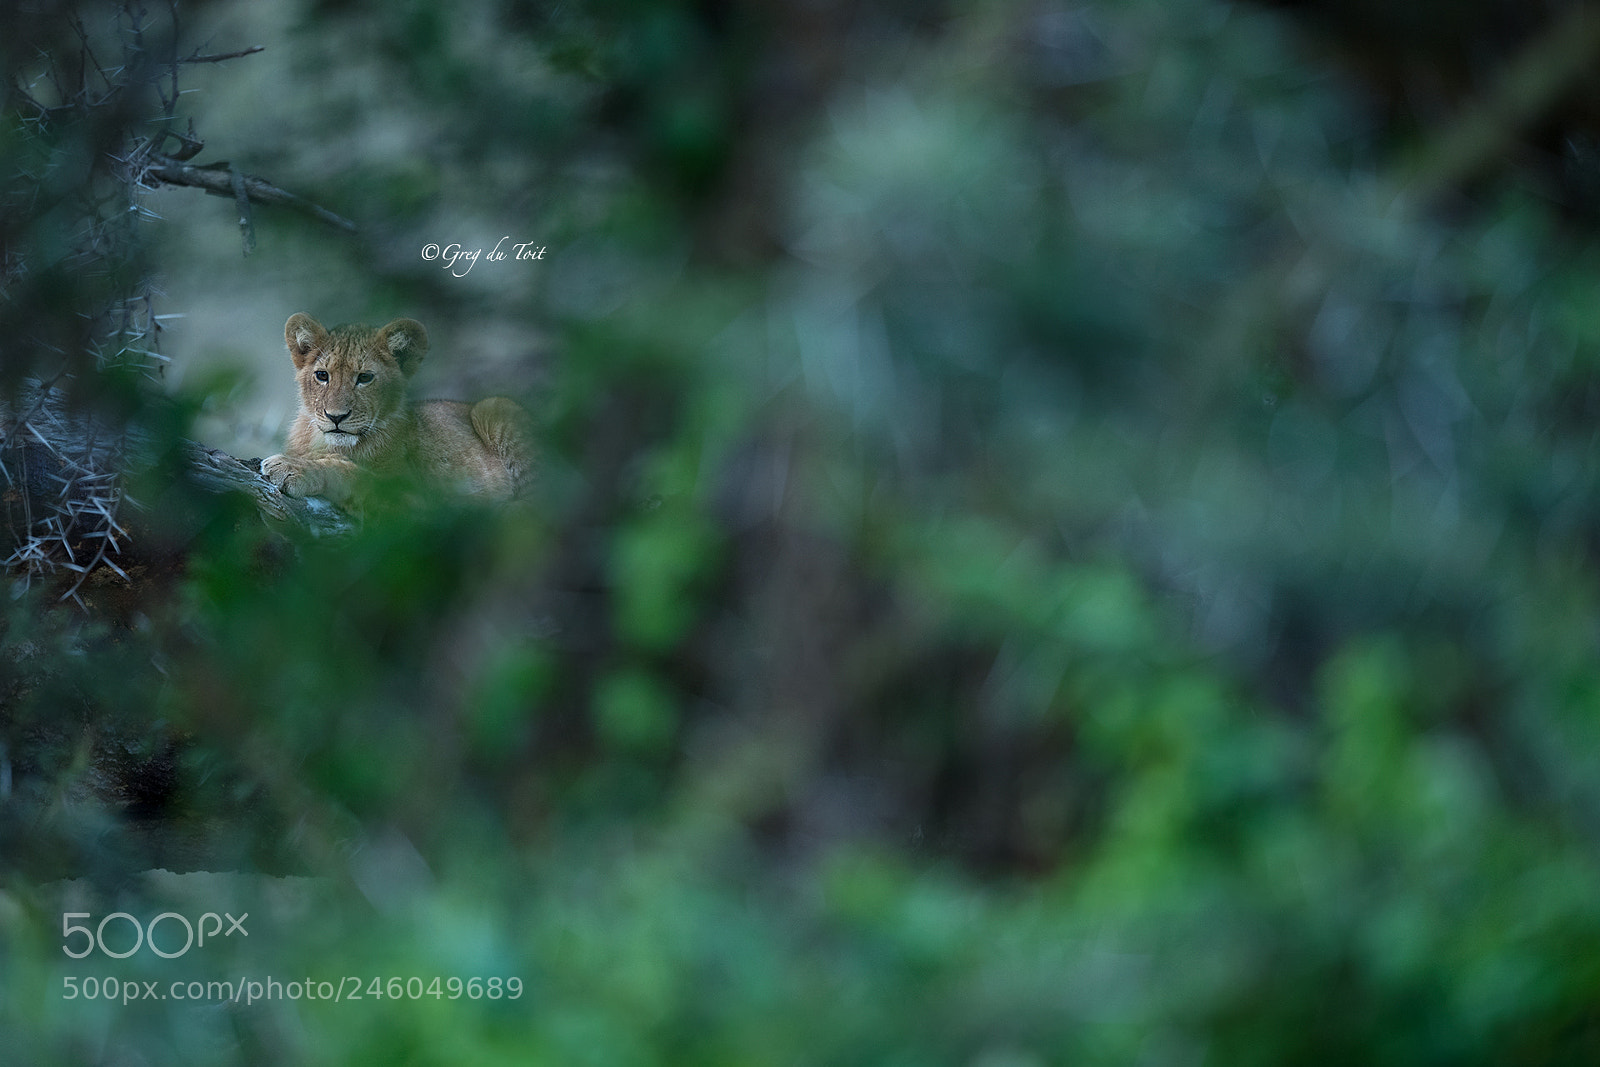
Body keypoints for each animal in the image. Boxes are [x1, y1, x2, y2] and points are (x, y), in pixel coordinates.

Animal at [260, 313, 532, 504]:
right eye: (322, 375)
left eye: (365, 378)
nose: (336, 417)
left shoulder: (415, 506)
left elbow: (353, 473)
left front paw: (295, 467)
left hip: (494, 407)